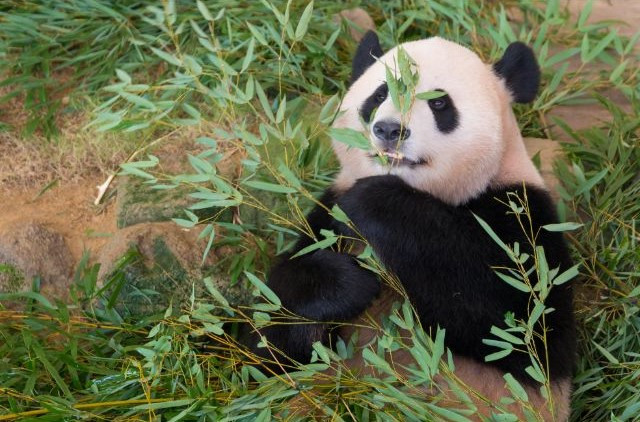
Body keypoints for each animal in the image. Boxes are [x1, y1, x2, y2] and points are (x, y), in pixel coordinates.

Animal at [252, 32, 576, 420]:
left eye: (439, 103)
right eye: (379, 95)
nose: (390, 129)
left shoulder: (524, 217)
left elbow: (518, 325)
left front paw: (375, 200)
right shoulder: (326, 216)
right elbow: (267, 343)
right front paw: (349, 283)